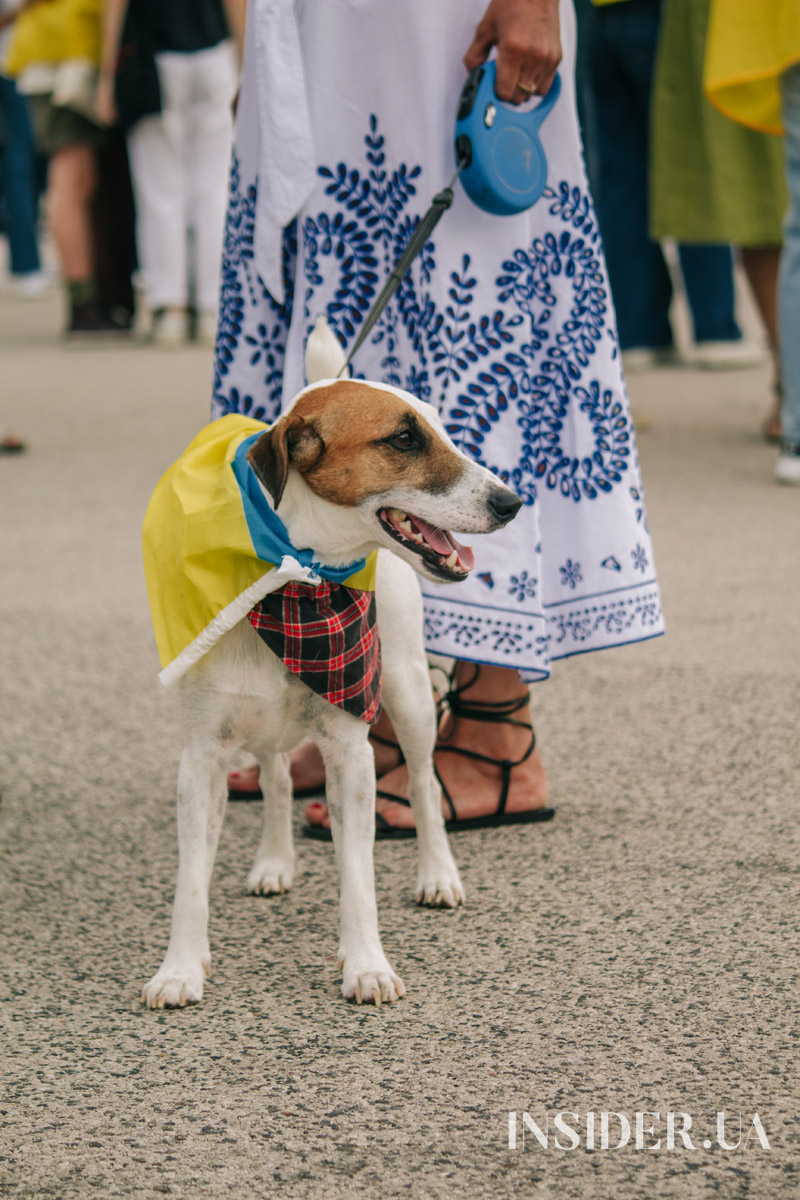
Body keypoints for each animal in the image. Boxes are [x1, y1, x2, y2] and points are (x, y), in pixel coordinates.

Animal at [140, 316, 522, 1003]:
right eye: (405, 438)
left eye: (443, 429)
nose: (512, 502)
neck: (296, 581)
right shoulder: (201, 755)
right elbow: (190, 882)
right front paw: (180, 968)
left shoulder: (351, 749)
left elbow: (358, 875)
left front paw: (366, 964)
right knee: (277, 776)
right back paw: (274, 860)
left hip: (407, 693)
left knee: (423, 783)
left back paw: (437, 873)